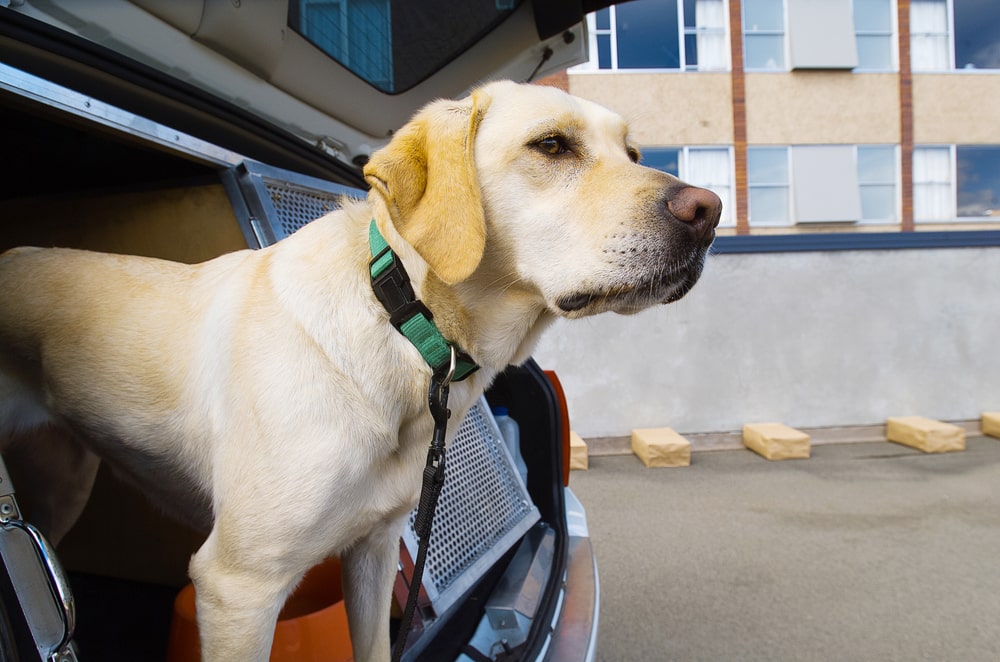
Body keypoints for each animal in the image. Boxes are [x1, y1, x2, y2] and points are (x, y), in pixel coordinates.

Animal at [0, 80, 720, 660]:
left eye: (633, 153)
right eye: (551, 145)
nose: (709, 211)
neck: (404, 327)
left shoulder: (372, 552)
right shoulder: (239, 585)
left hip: (63, 479)